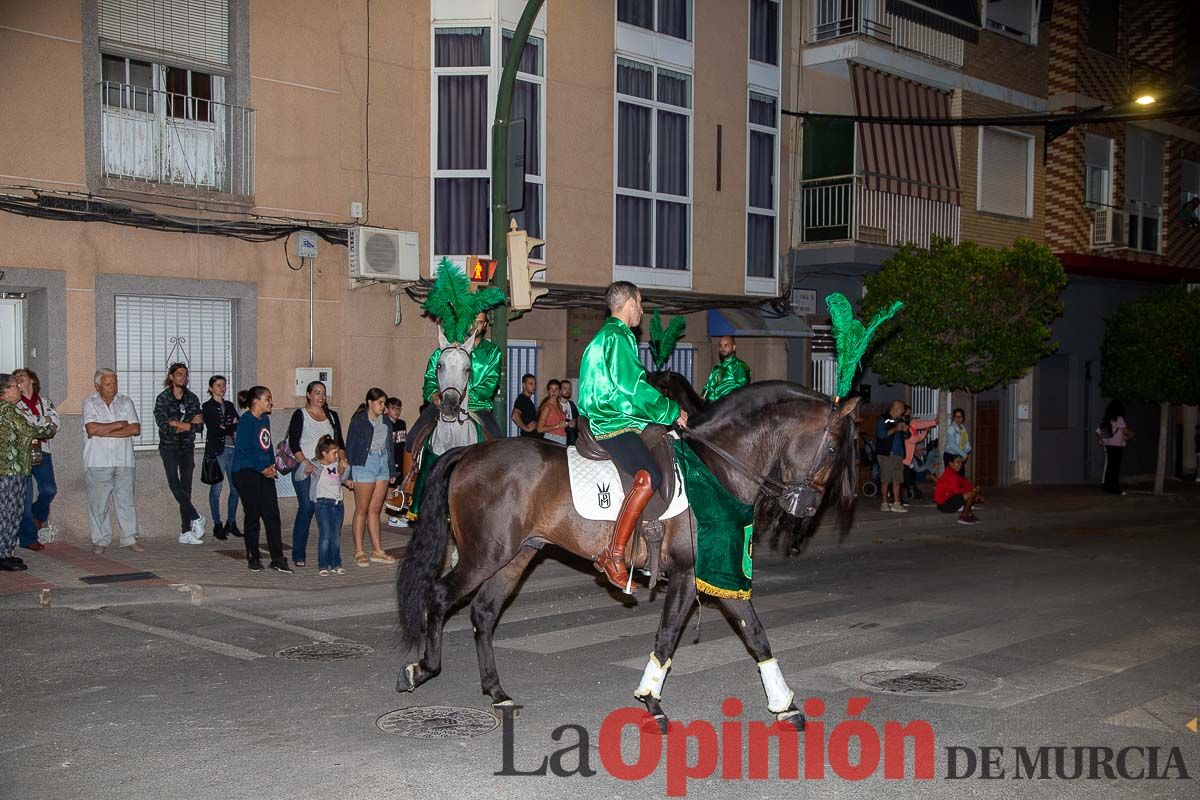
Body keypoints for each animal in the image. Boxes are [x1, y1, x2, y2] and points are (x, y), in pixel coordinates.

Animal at [398, 381, 859, 734]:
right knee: (440, 596)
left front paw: (786, 706)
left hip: (516, 556)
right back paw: (421, 670)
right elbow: (669, 635)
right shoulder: (690, 573)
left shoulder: (718, 571)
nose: (807, 508)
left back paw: (497, 692)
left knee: (484, 612)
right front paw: (652, 702)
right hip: (484, 554)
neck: (716, 466)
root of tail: (469, 453)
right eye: (834, 448)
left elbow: (756, 634)